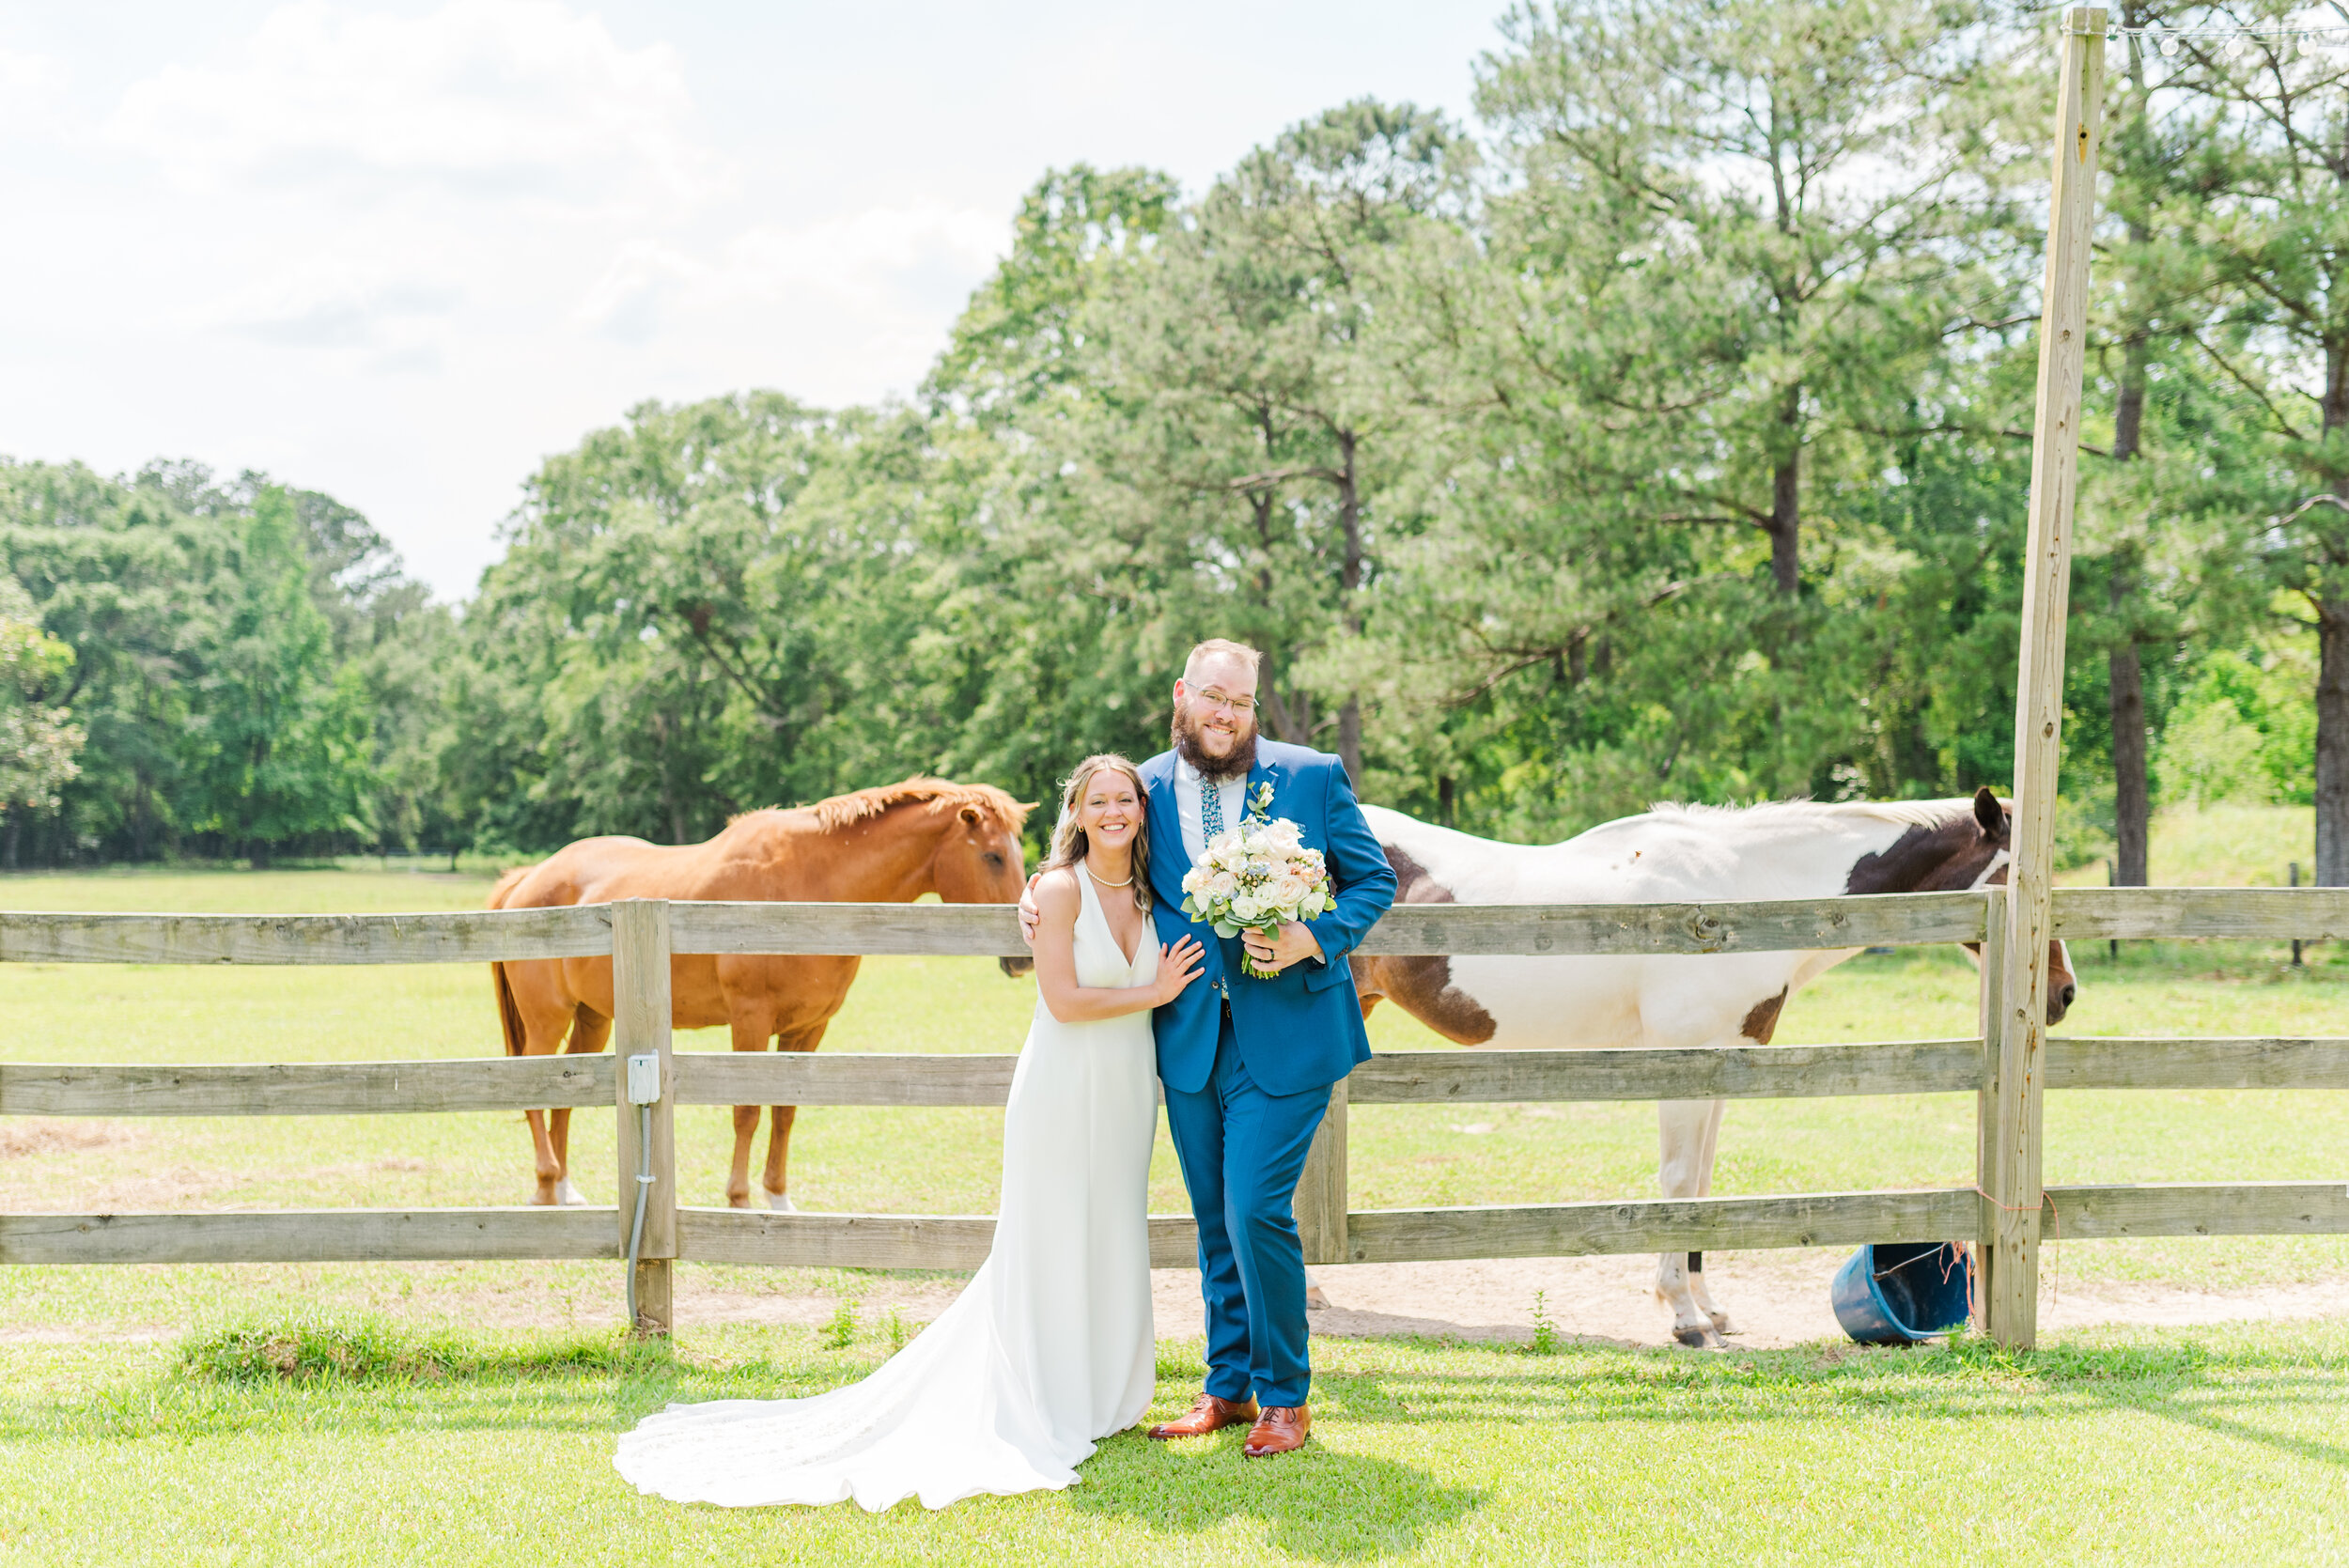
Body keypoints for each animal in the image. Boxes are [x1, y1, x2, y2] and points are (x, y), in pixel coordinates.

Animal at [490, 779, 1034, 1211]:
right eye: (992, 855)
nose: (1024, 957)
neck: (808, 886)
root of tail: (527, 880)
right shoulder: (750, 1021)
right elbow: (748, 1111)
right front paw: (740, 1199)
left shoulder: (808, 1028)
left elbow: (784, 1112)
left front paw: (779, 1197)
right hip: (547, 1019)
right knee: (533, 1091)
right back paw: (546, 1185)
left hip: (593, 1018)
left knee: (564, 1093)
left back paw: (566, 1189)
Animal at [1353, 788, 2086, 1352]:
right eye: (2019, 877)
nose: (2063, 993)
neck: (1745, 892)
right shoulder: (1681, 1061)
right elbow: (1678, 1184)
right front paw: (1683, 1319)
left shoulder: (1721, 1061)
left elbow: (1703, 1189)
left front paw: (1709, 1308)